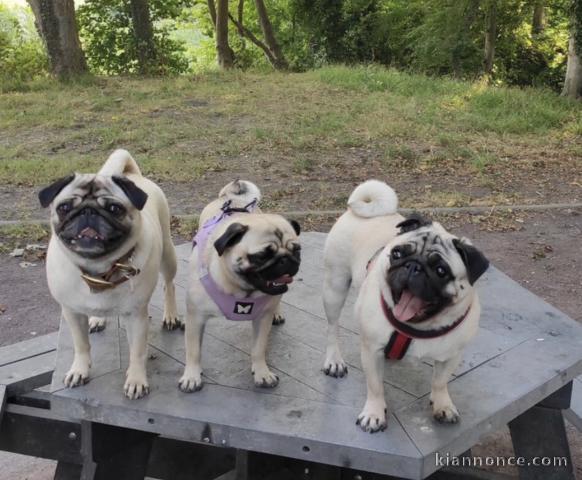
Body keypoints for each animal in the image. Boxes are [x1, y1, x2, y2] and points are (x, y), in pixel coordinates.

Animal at [39, 148, 179, 400]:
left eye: (114, 209)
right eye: (64, 207)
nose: (88, 211)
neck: (100, 268)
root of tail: (133, 175)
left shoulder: (136, 316)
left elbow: (137, 352)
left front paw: (136, 380)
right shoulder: (72, 312)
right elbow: (81, 345)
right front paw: (79, 370)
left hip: (168, 253)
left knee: (170, 284)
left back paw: (171, 314)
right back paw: (97, 318)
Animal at [180, 181, 302, 394]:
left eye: (297, 251)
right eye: (262, 255)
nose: (287, 260)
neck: (240, 289)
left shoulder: (262, 320)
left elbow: (258, 349)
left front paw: (262, 373)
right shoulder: (196, 317)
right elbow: (193, 351)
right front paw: (192, 376)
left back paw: (277, 313)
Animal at [322, 180, 490, 432]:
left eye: (441, 271)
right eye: (397, 254)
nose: (413, 266)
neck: (419, 326)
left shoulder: (452, 355)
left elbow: (440, 382)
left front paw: (443, 405)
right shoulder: (371, 350)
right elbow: (375, 386)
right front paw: (374, 414)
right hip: (335, 286)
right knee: (332, 328)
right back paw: (334, 360)